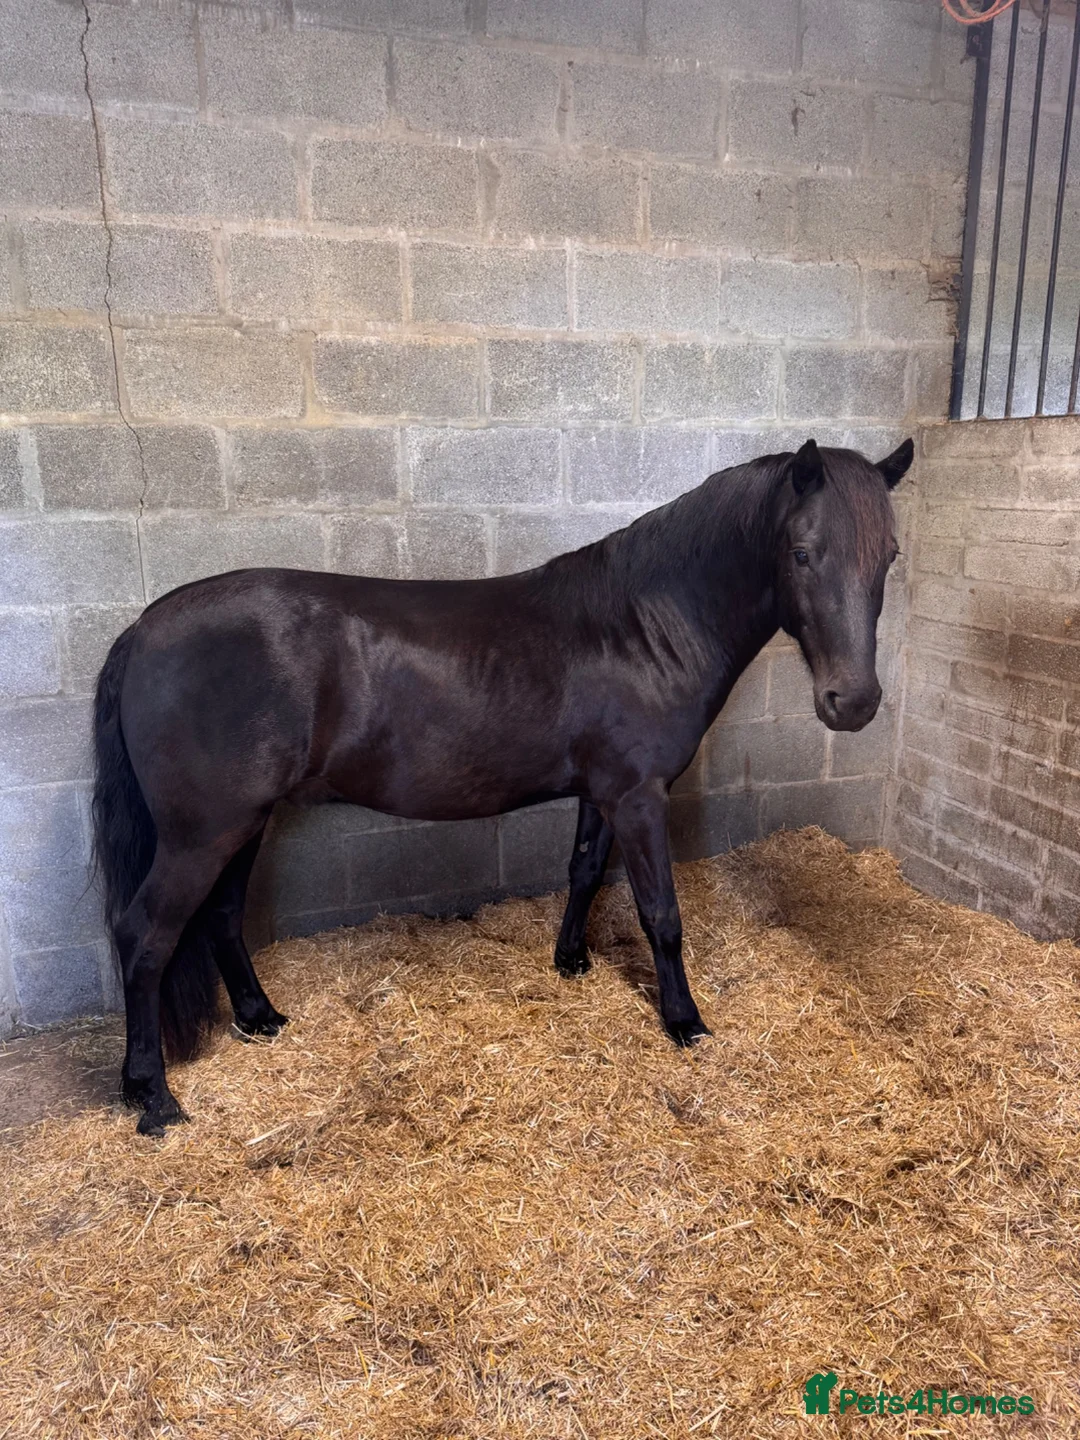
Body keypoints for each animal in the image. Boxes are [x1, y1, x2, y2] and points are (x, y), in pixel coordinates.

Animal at [92, 436, 912, 1135]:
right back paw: (153, 1097)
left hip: (244, 822)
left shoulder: (604, 792)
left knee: (222, 916)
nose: (853, 702)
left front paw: (571, 961)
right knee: (145, 937)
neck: (643, 626)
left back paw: (259, 1018)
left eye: (891, 555)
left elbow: (584, 870)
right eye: (802, 553)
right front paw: (684, 1021)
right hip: (202, 834)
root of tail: (144, 628)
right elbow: (661, 915)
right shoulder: (641, 797)